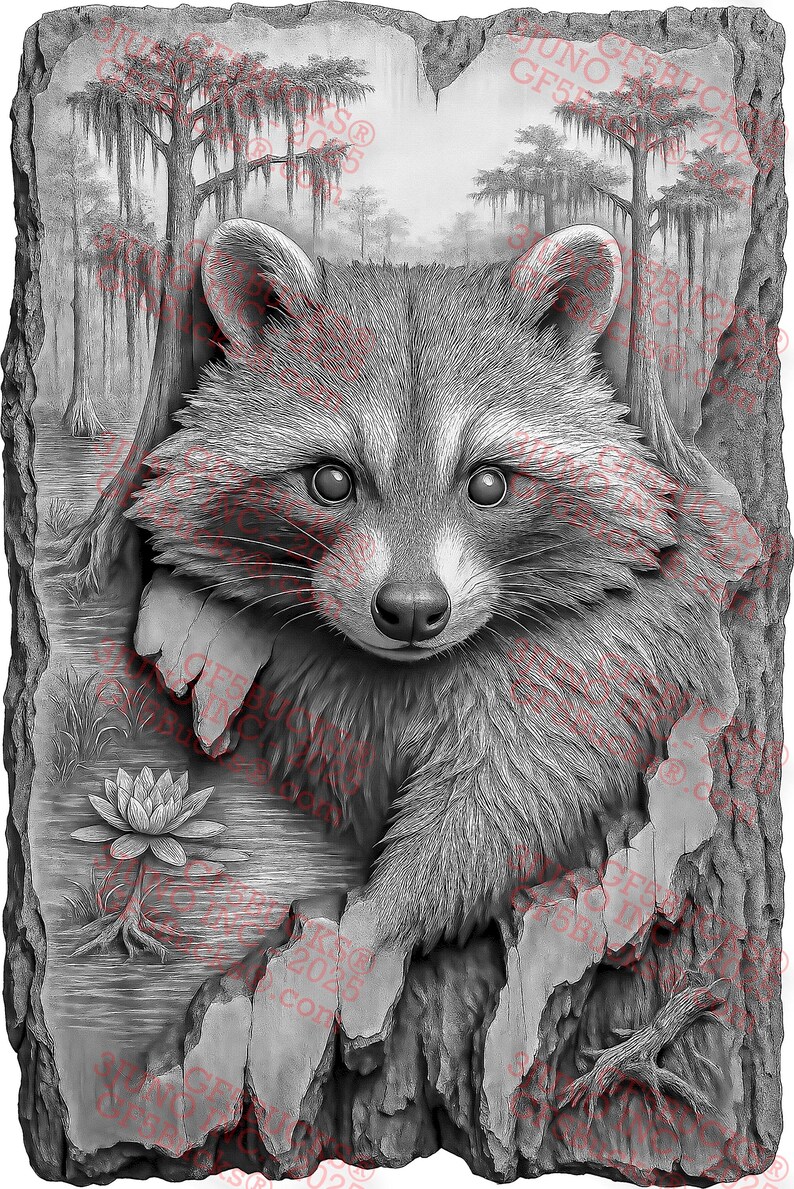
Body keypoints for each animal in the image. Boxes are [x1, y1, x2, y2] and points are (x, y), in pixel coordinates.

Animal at [129, 218, 732, 953]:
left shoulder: (596, 658)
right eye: (331, 481)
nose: (413, 611)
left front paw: (373, 919)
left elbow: (509, 803)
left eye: (489, 483)